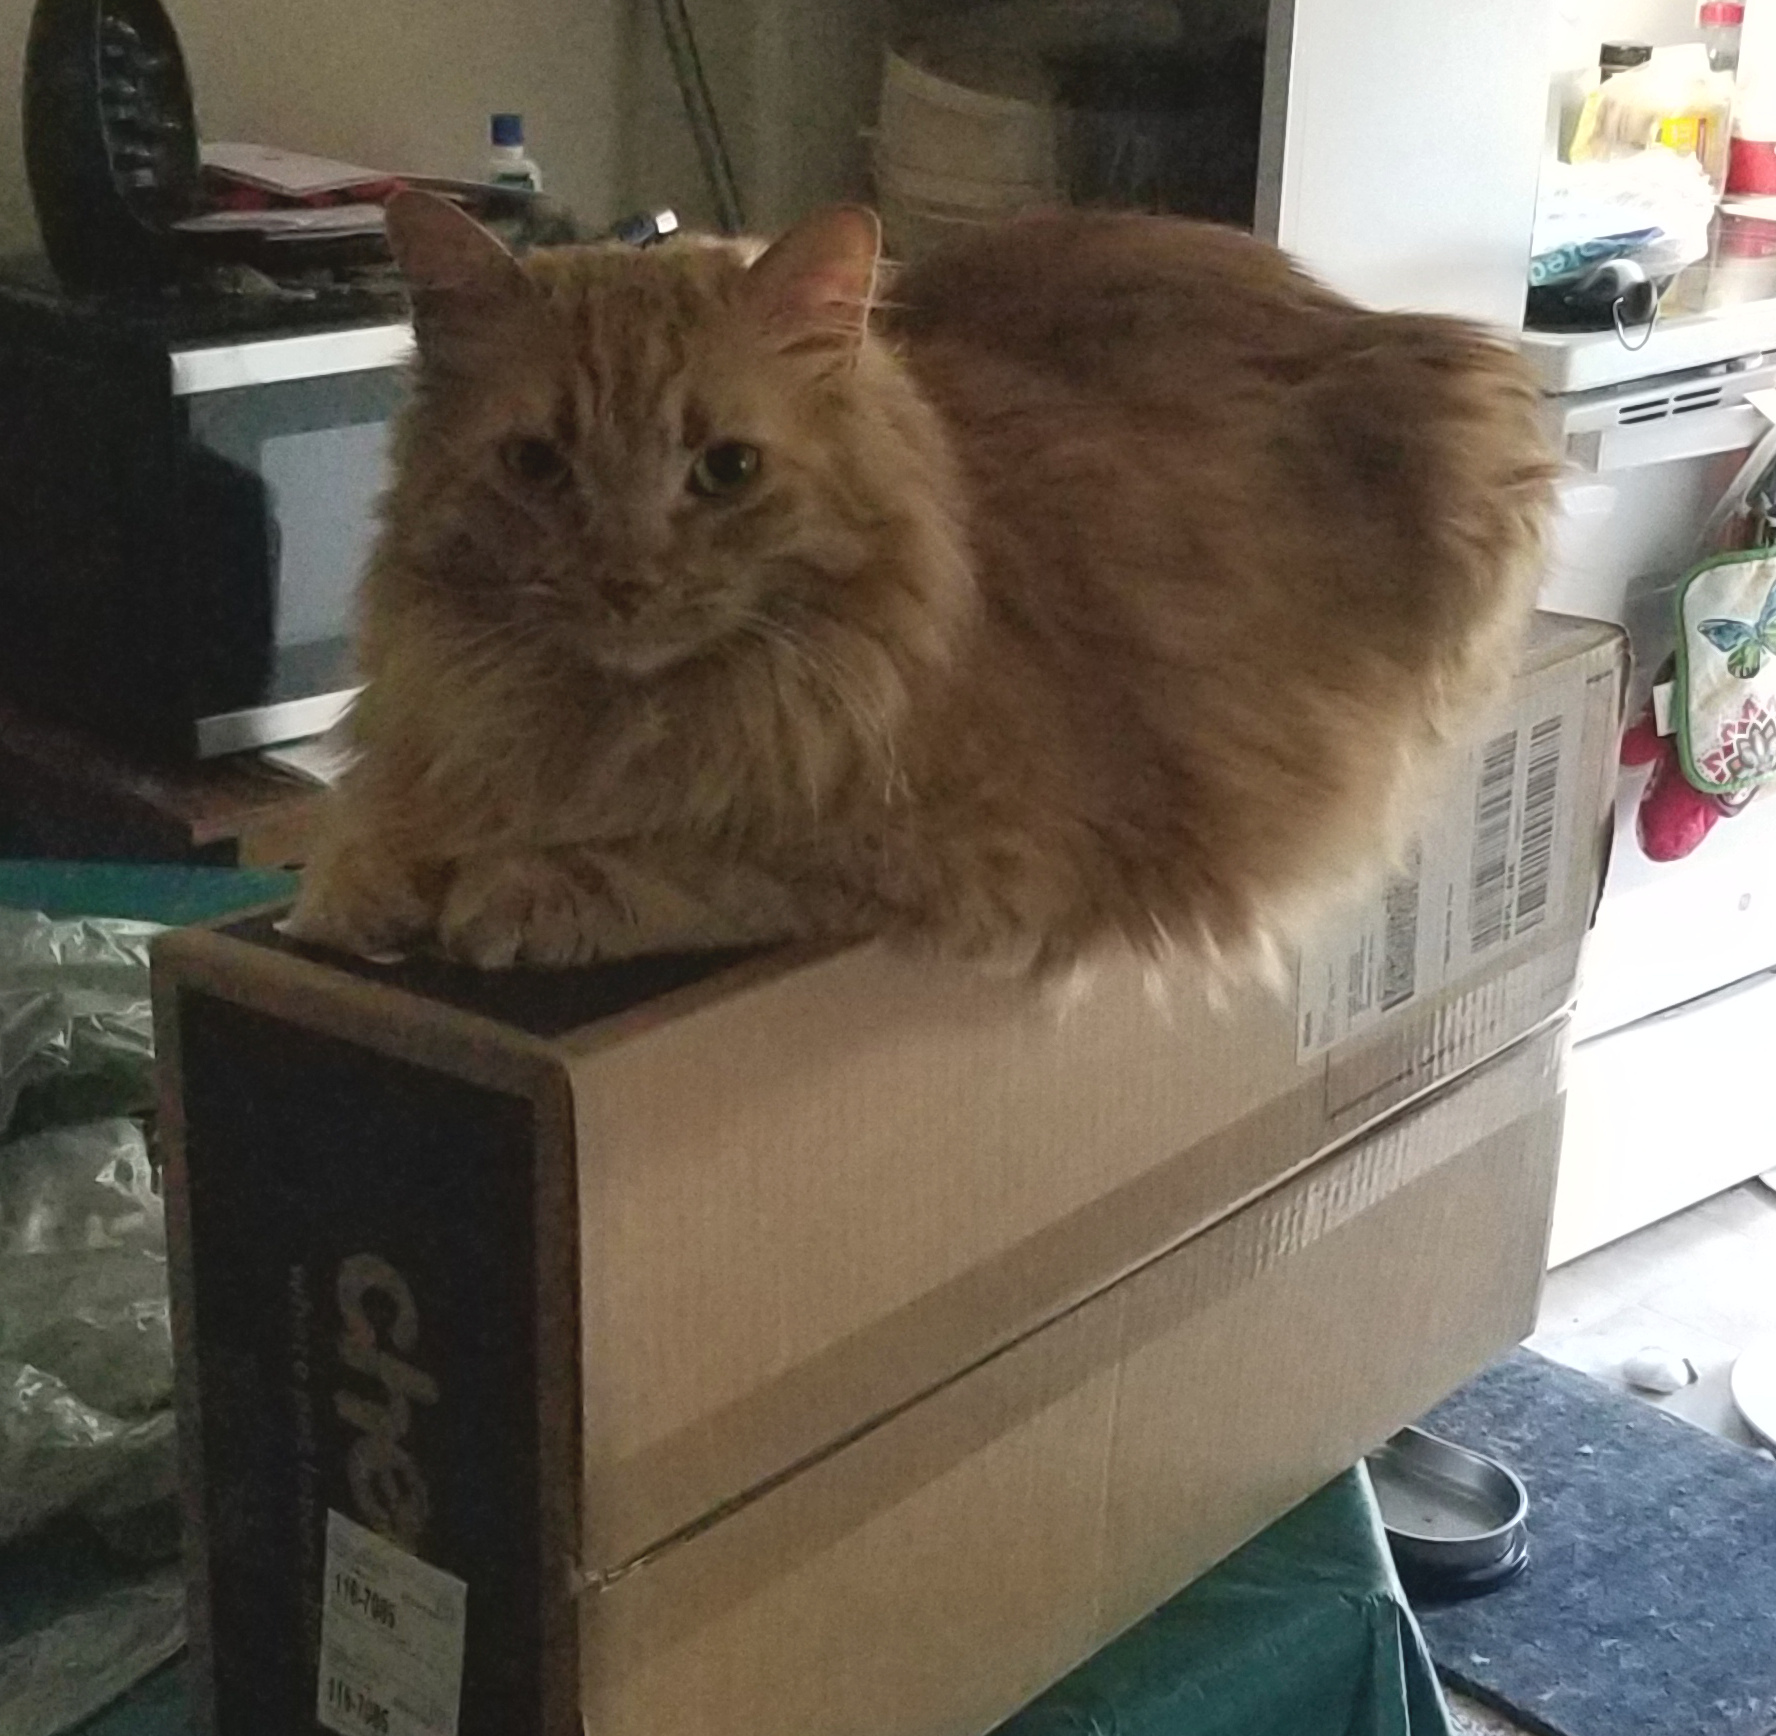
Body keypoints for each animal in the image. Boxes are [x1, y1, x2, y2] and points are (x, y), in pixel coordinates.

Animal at [287, 192, 1555, 973]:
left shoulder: (976, 855)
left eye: (726, 469)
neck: (601, 721)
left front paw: (514, 887)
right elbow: (362, 823)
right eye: (537, 465)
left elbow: (696, 856)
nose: (626, 580)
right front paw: (356, 885)